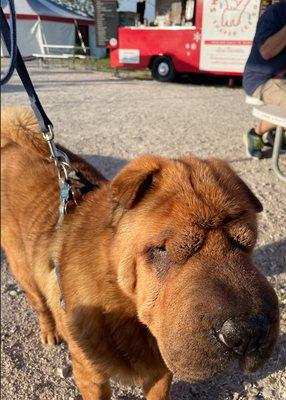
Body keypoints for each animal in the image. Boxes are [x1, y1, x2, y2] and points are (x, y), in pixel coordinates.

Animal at [1, 107, 280, 400]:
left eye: (246, 242)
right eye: (161, 250)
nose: (247, 333)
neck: (127, 308)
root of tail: (10, 143)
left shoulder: (160, 371)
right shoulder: (91, 374)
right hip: (23, 268)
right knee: (39, 302)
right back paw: (50, 333)